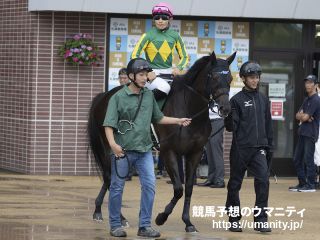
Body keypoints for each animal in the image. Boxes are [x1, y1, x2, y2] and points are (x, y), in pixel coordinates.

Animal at [87, 50, 235, 231]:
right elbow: (178, 189)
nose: (225, 108)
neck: (189, 109)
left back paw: (103, 211)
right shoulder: (169, 151)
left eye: (230, 78)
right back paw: (112, 215)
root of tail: (104, 95)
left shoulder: (195, 152)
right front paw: (161, 217)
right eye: (213, 76)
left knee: (111, 178)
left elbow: (189, 188)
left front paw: (187, 222)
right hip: (109, 146)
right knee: (111, 177)